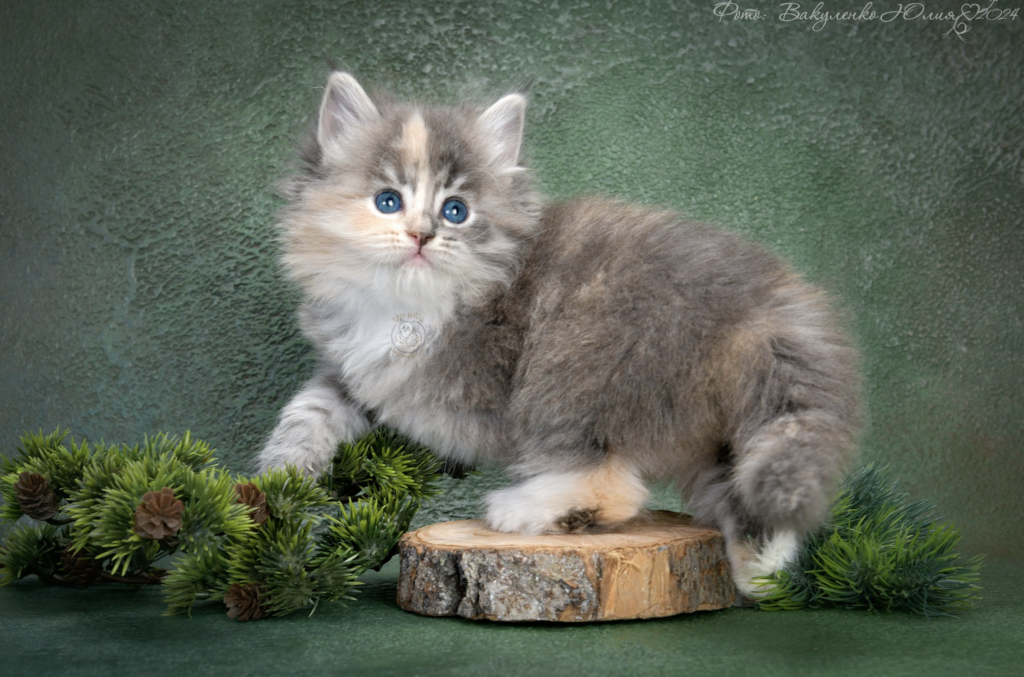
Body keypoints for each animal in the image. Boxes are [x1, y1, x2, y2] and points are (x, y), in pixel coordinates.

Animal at [256, 71, 856, 594]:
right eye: (388, 201)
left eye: (456, 211)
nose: (423, 234)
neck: (409, 305)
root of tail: (769, 304)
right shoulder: (355, 366)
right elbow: (311, 407)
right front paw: (282, 477)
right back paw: (758, 566)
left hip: (579, 363)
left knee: (615, 484)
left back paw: (524, 508)